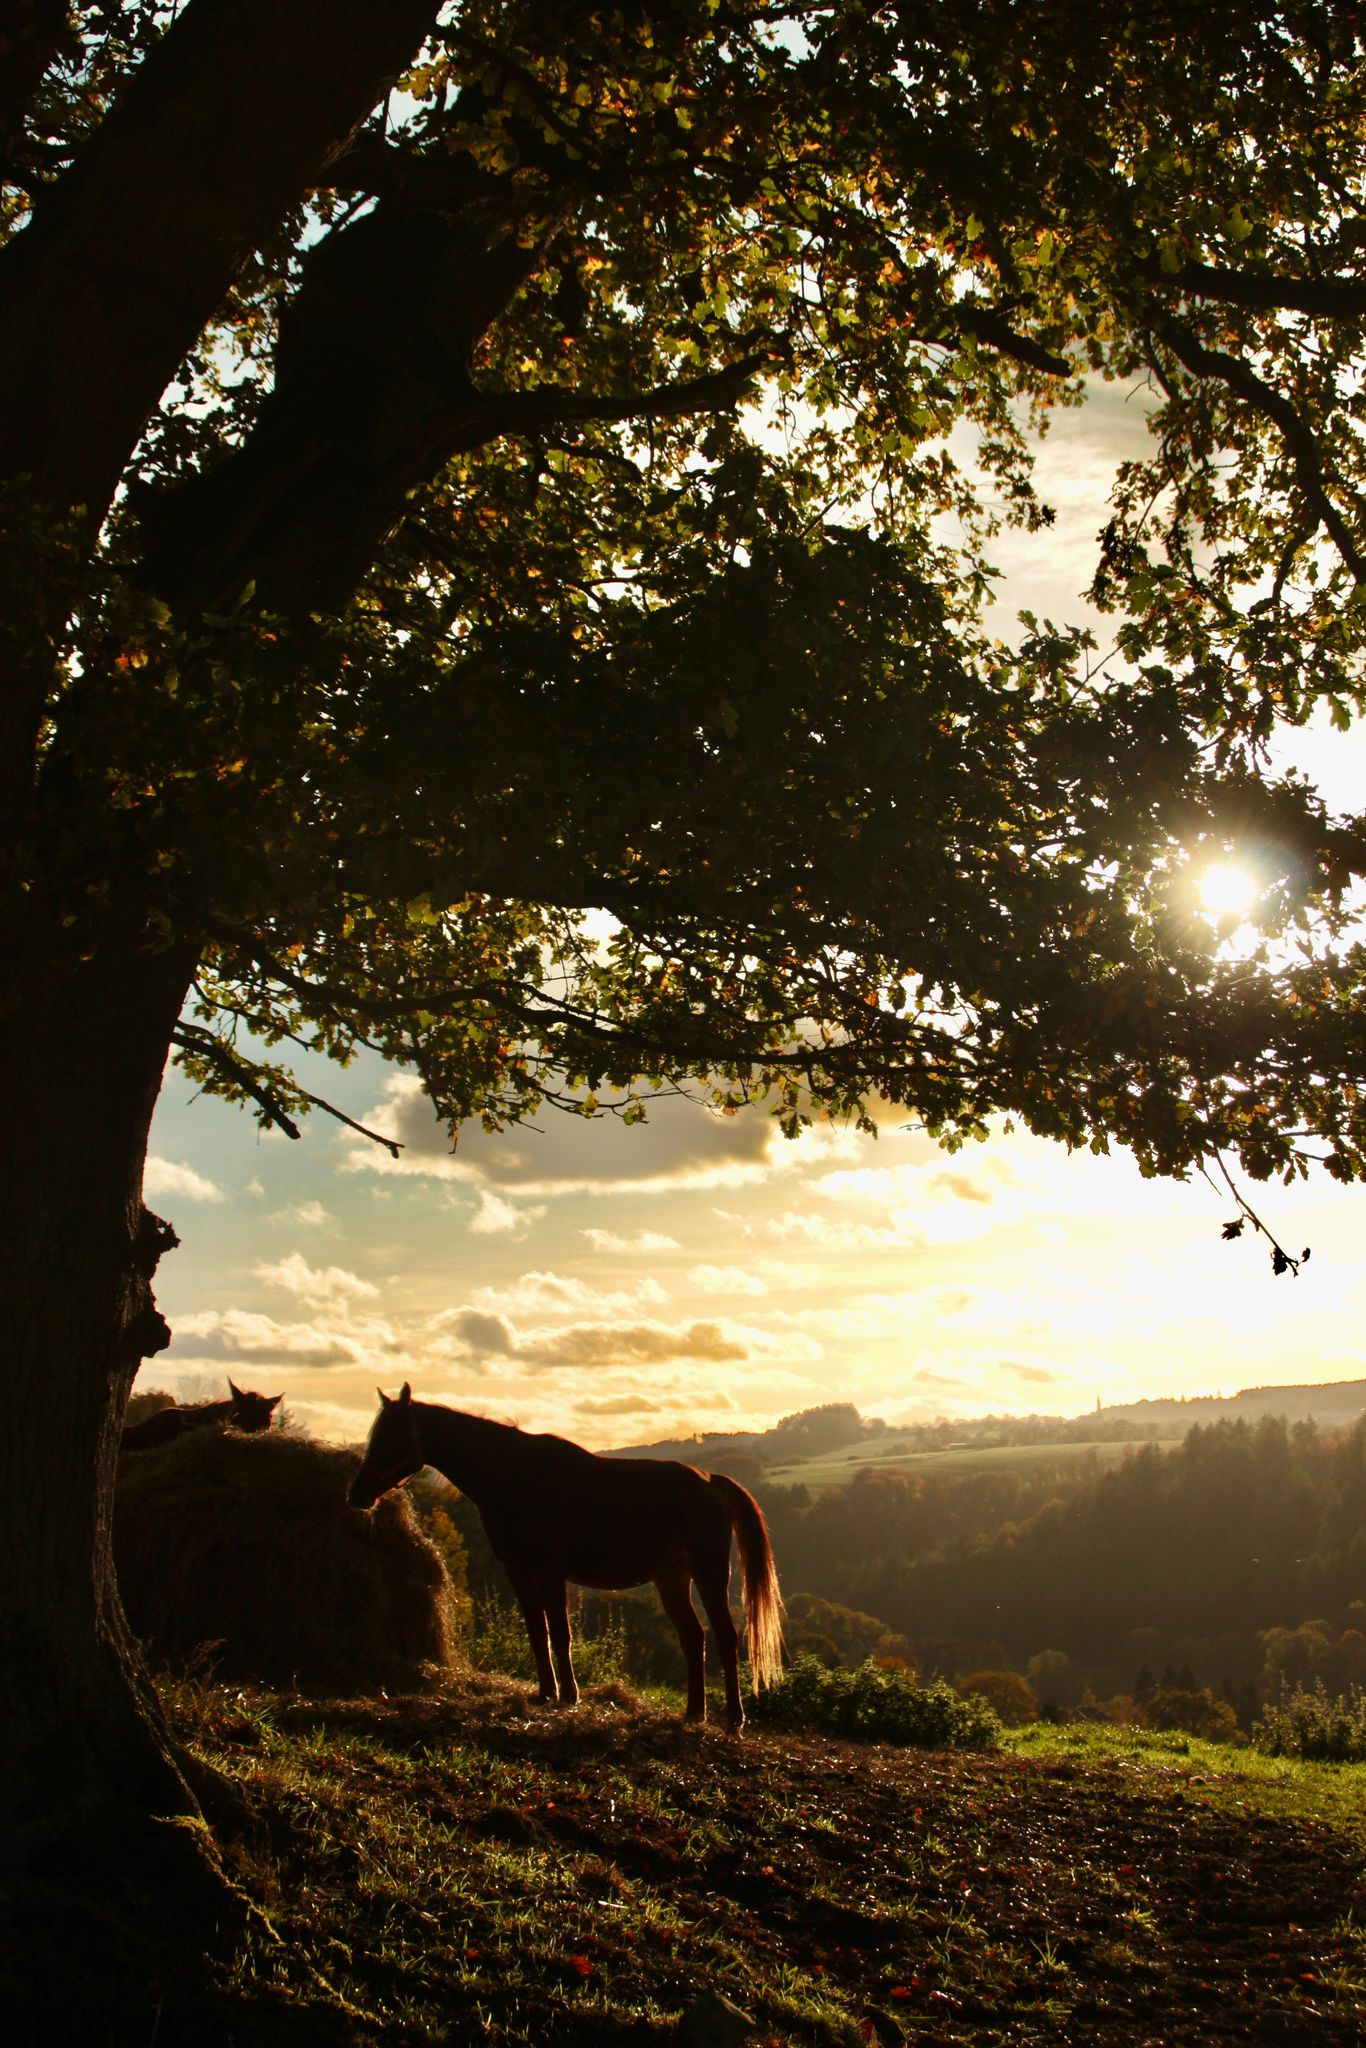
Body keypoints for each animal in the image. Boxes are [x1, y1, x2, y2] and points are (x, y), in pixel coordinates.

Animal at [349, 1383, 784, 1730]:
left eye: (390, 1436)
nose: (357, 1494)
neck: (512, 1475)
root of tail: (710, 1482)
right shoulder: (518, 1570)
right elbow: (537, 1631)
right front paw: (545, 1693)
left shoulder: (549, 1570)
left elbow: (560, 1632)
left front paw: (569, 1695)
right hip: (672, 1579)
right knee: (694, 1638)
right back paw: (694, 1714)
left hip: (709, 1575)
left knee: (725, 1638)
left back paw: (734, 1720)